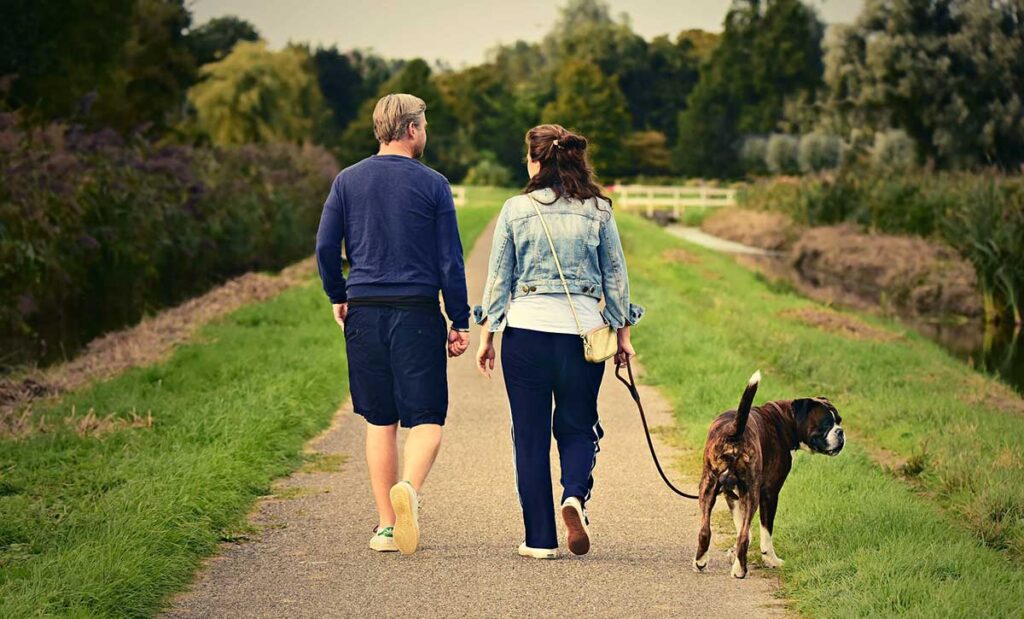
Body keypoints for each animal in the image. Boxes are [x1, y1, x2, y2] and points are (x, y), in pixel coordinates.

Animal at [692, 373, 843, 582]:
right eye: (826, 424)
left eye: (839, 421)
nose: (840, 432)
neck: (786, 420)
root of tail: (734, 431)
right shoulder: (769, 494)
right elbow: (764, 533)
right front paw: (771, 560)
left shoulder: (732, 495)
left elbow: (743, 529)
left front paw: (735, 555)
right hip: (752, 492)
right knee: (742, 536)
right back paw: (740, 571)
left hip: (708, 487)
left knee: (706, 531)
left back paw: (701, 562)